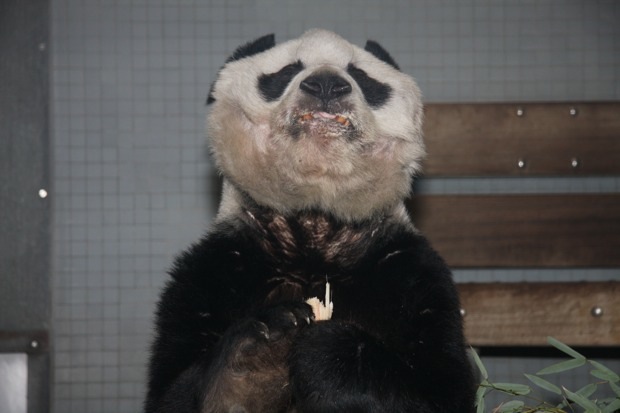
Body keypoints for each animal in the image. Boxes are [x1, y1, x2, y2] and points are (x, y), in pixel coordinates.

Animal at [144, 29, 474, 412]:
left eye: (361, 76)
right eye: (287, 71)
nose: (327, 85)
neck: (314, 227)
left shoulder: (408, 271)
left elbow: (439, 390)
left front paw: (330, 349)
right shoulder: (216, 269)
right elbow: (172, 392)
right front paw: (262, 353)